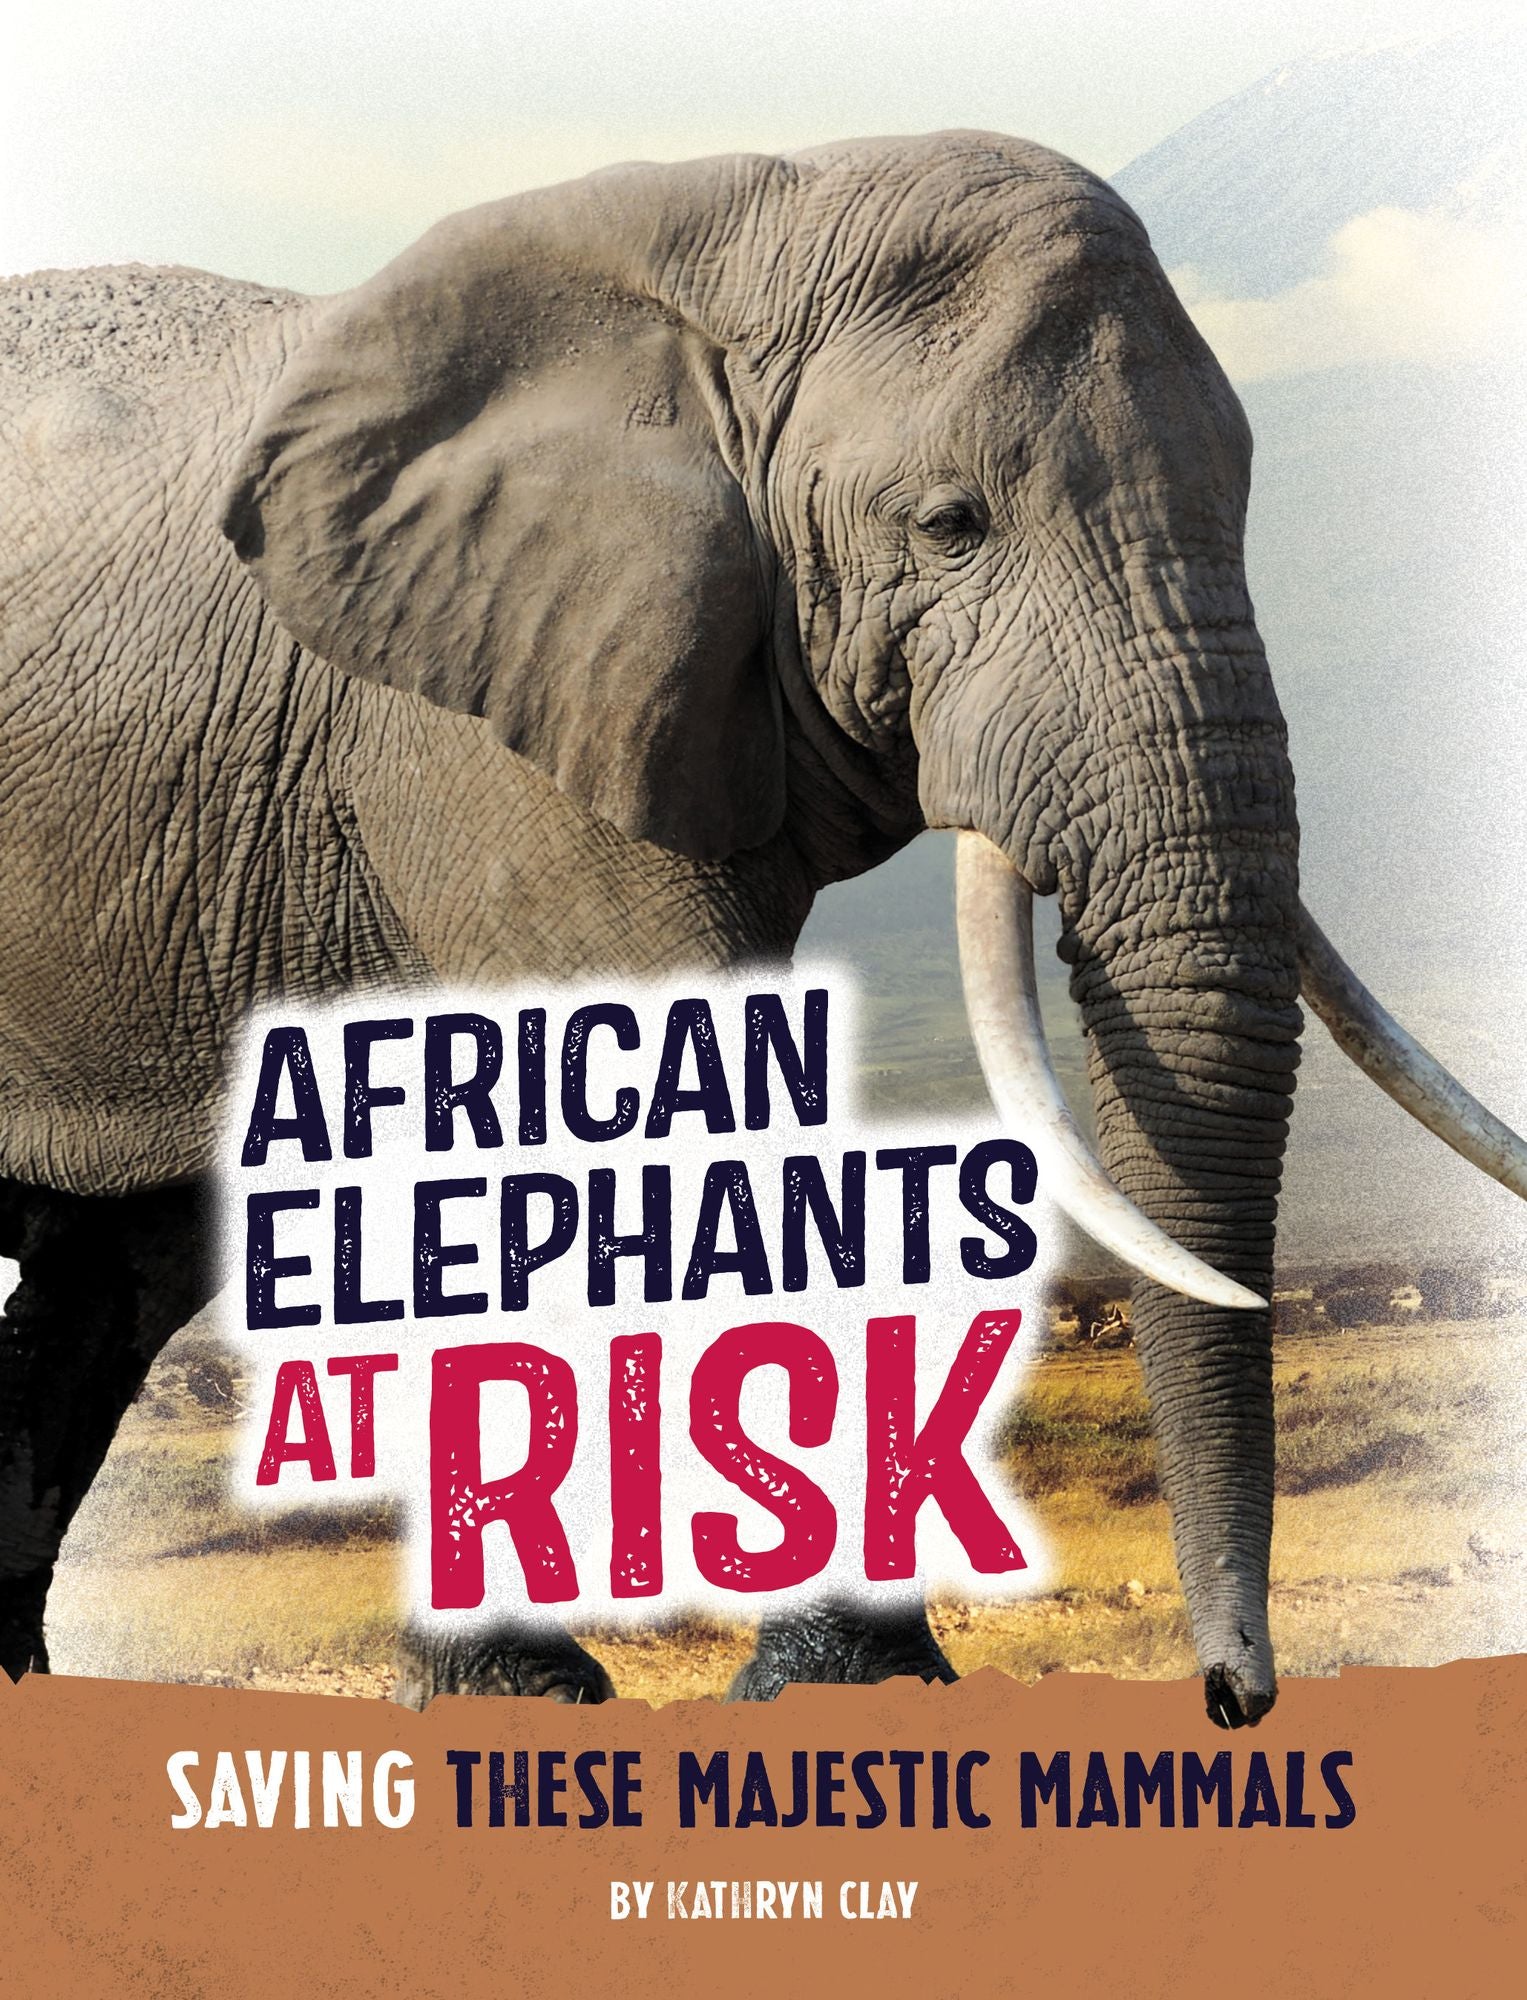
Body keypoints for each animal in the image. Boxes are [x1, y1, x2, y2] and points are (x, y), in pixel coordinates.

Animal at [3, 132, 1523, 1727]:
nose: (1234, 1698)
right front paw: (835, 1693)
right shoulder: (481, 728)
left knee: (110, 1286)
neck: (744, 223)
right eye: (949, 525)